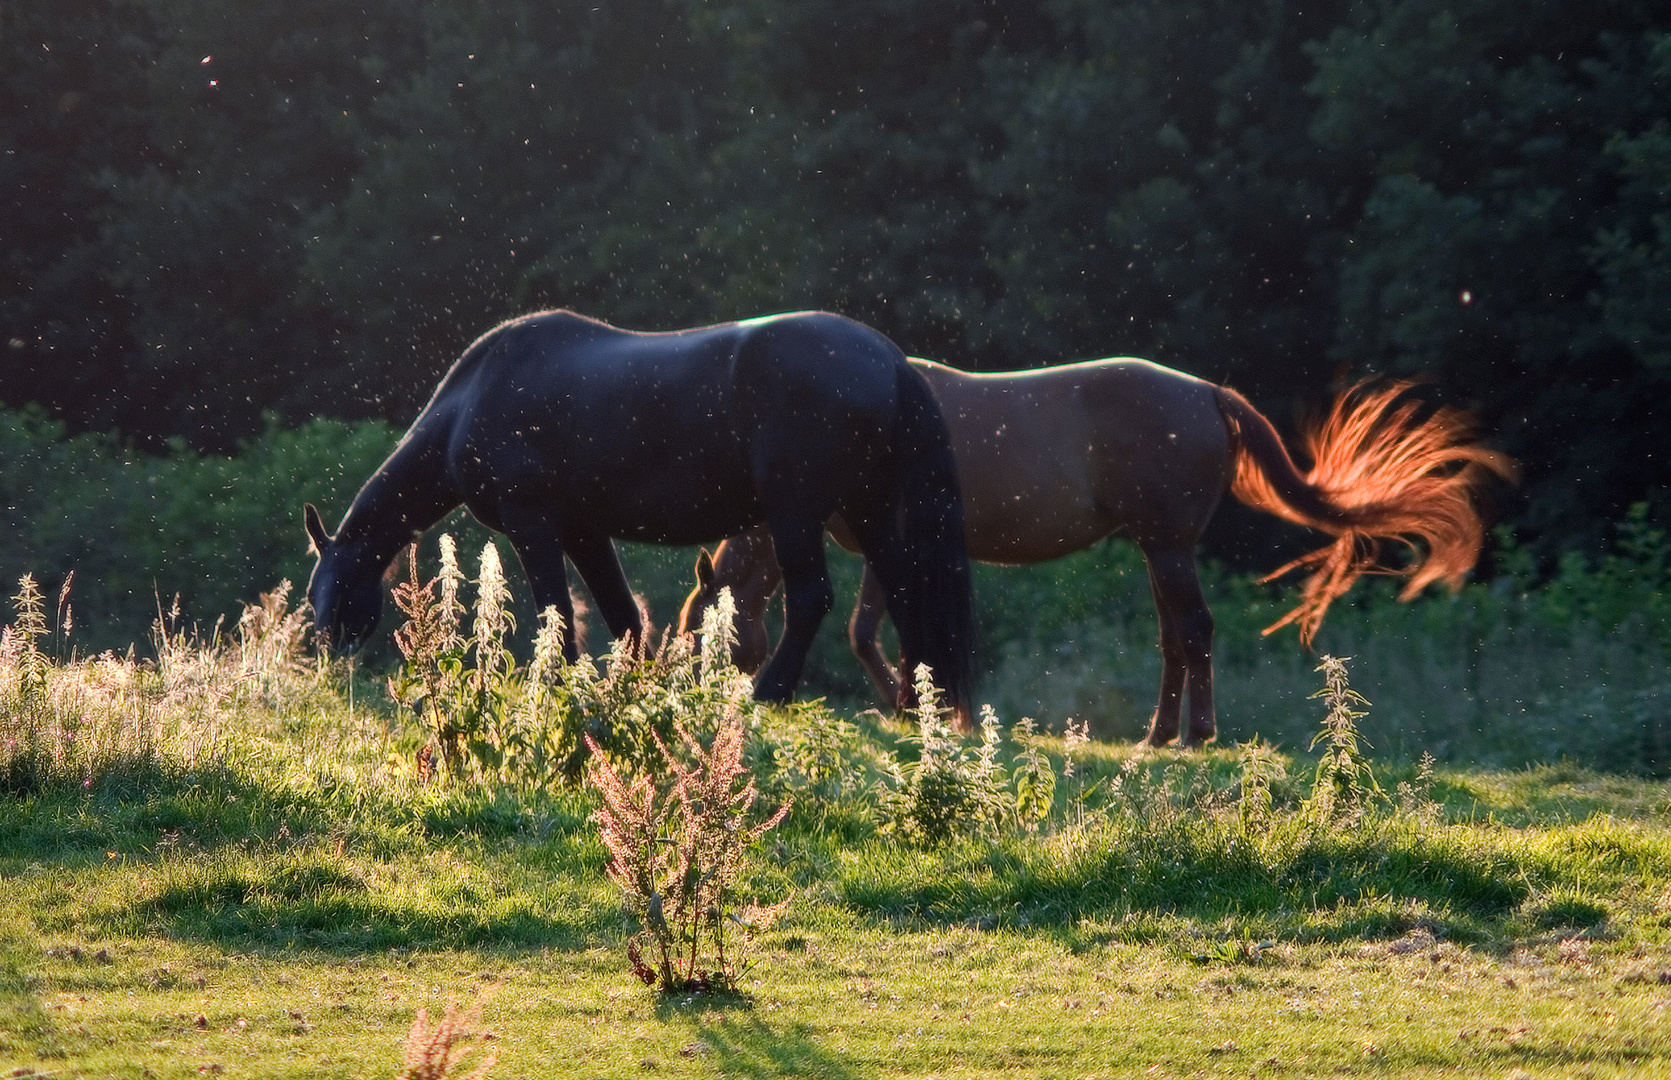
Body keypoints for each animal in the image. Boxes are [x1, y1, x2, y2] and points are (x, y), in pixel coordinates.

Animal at [307, 310, 975, 718]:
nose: (324, 664)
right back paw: (920, 709)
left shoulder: (533, 525)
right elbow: (622, 614)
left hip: (796, 514)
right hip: (870, 512)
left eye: (329, 591)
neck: (474, 397)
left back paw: (769, 695)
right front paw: (629, 687)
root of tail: (891, 360)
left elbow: (556, 612)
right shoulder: (584, 529)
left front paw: (561, 687)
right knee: (905, 592)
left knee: (811, 598)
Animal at [678, 359, 1517, 748]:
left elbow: (862, 633)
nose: (689, 695)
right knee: (1175, 637)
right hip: (1156, 551)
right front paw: (913, 703)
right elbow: (877, 631)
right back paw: (1158, 733)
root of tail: (1208, 394)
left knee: (1193, 631)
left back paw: (1192, 735)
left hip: (1167, 547)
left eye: (694, 635)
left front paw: (906, 704)